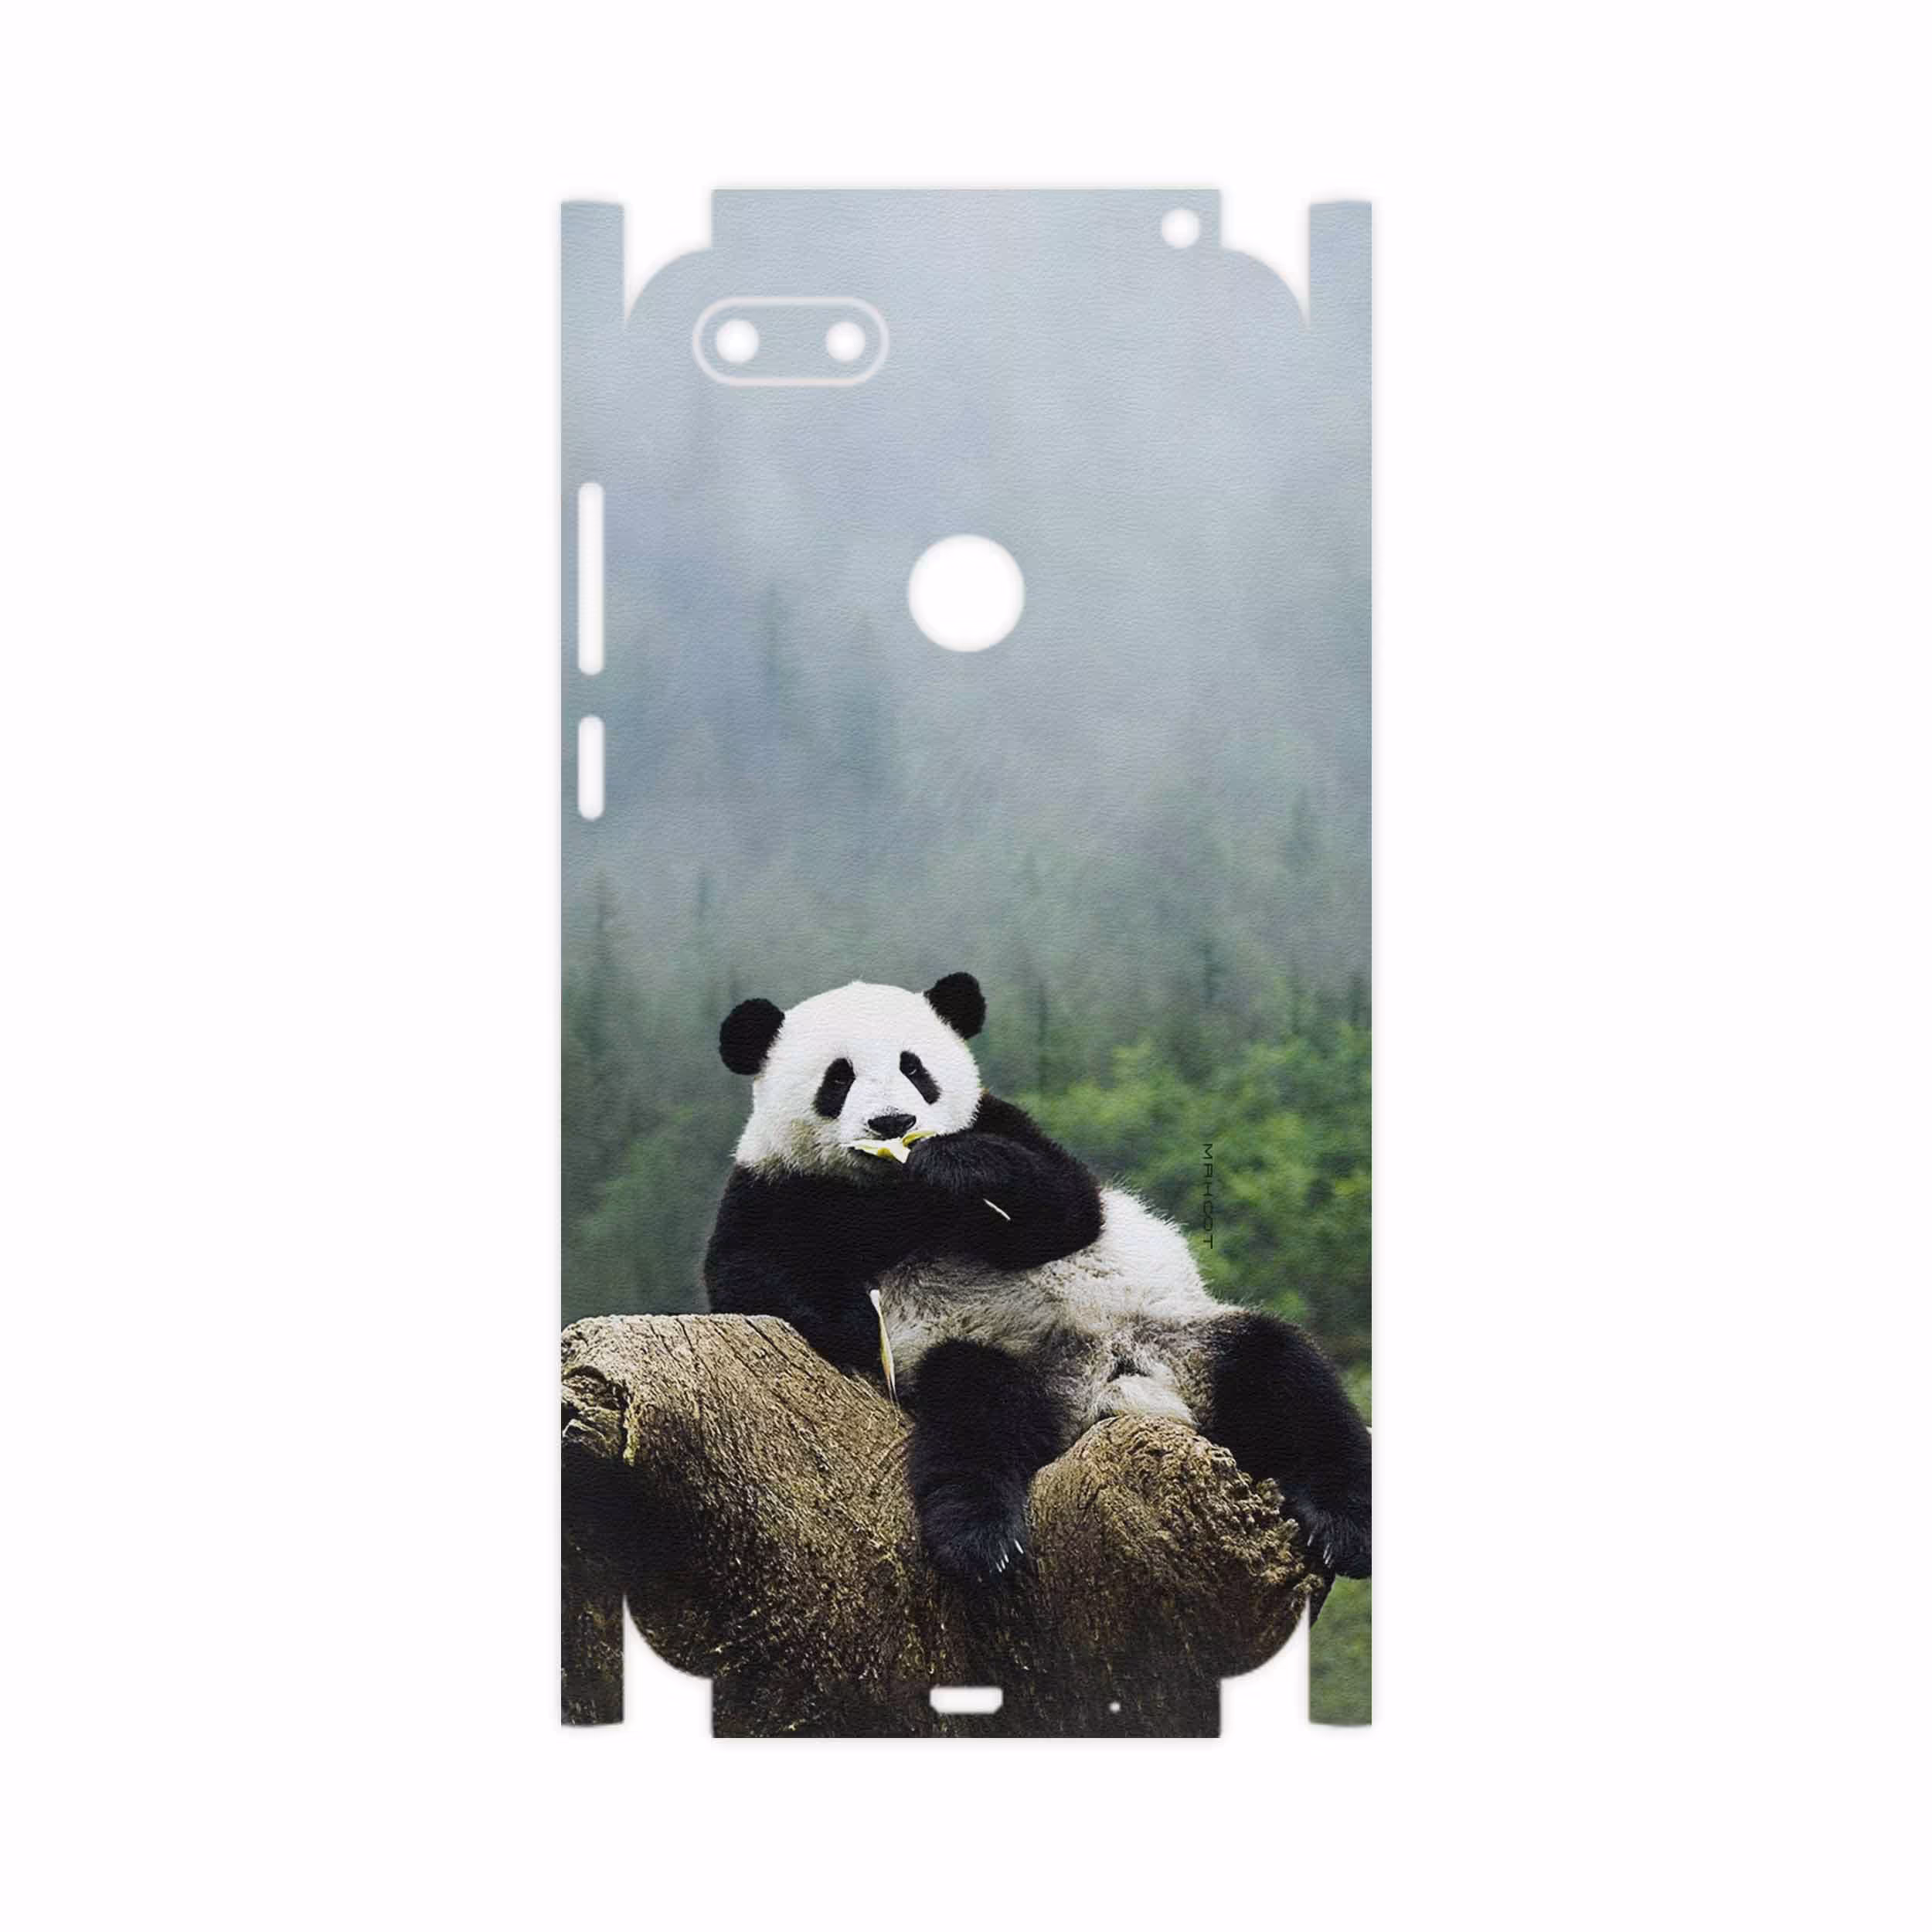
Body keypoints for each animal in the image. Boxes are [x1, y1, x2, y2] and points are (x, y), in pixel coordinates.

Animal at [704, 972, 1372, 1584]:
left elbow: (1068, 1209)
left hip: (1184, 1337)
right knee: (973, 1416)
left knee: (1287, 1376)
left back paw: (1344, 1527)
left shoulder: (1004, 1123)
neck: (891, 1191)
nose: (893, 1122)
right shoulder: (775, 1186)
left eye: (914, 1068)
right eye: (838, 1079)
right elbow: (746, 1275)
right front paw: (857, 1321)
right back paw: (980, 1539)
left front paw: (956, 1166)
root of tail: (1109, 1386)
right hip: (1004, 1362)